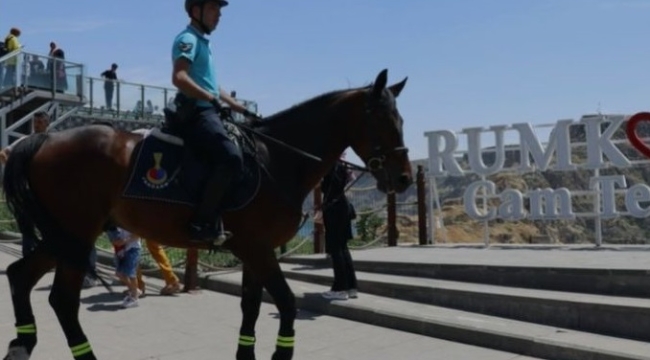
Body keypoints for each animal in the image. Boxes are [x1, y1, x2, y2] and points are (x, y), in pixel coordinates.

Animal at [2, 69, 412, 358]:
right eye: (383, 121)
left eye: (402, 121)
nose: (404, 177)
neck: (277, 159)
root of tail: (42, 139)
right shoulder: (260, 250)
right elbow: (285, 303)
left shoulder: (253, 251)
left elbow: (251, 306)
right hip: (77, 234)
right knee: (62, 300)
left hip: (62, 236)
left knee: (20, 275)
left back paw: (22, 344)